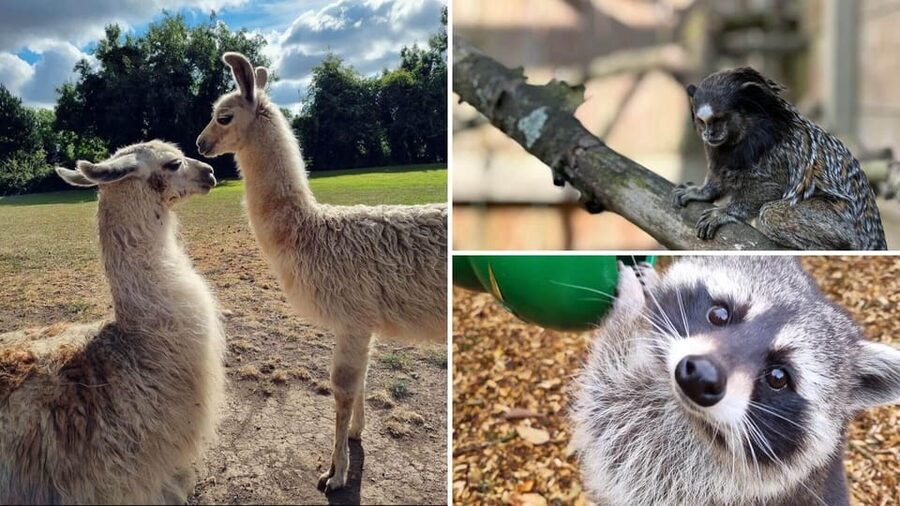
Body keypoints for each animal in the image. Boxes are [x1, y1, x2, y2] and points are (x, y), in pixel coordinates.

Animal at [672, 67, 887, 250]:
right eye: (702, 121)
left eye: (718, 119)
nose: (709, 133)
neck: (744, 133)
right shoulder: (719, 153)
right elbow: (718, 175)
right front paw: (702, 192)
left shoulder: (778, 155)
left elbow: (768, 188)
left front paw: (726, 213)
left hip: (842, 225)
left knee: (770, 213)